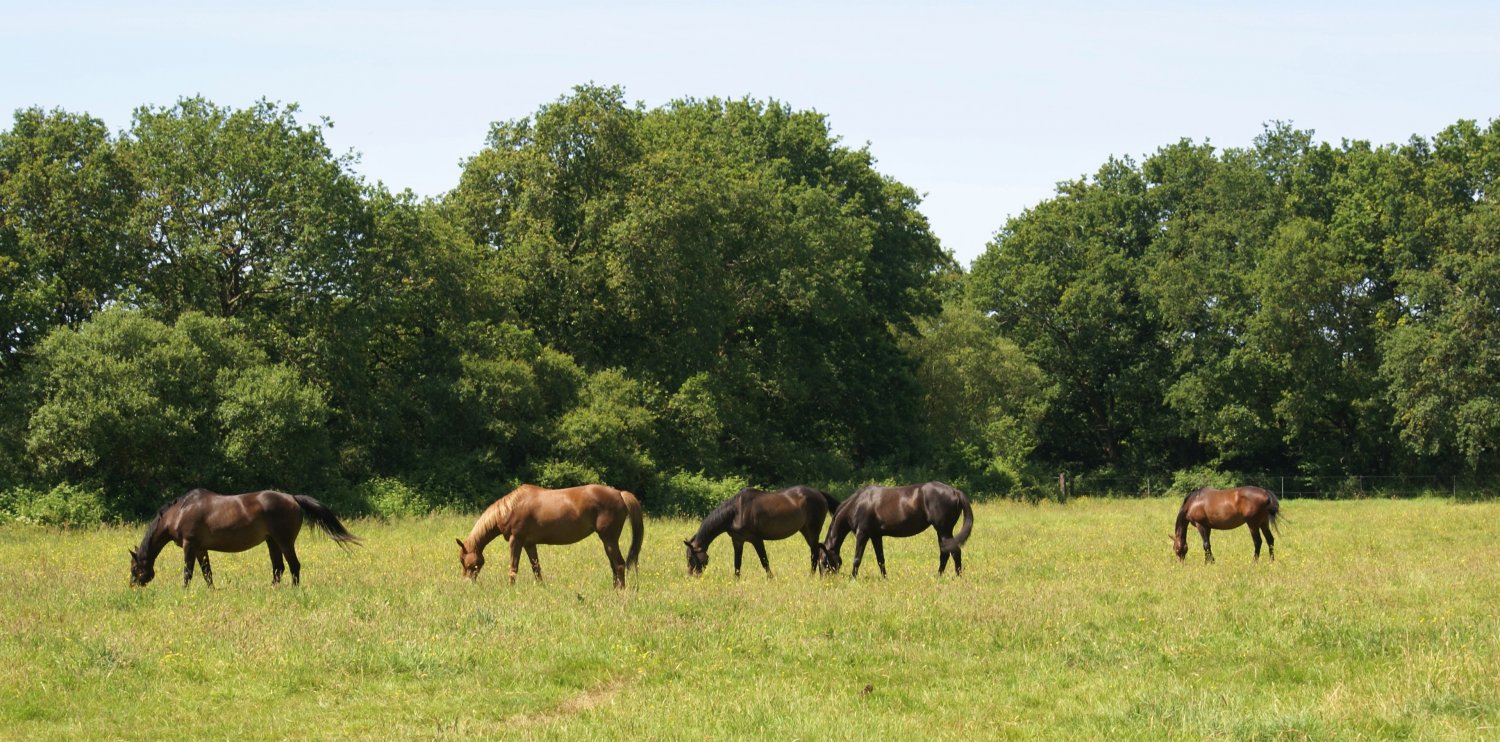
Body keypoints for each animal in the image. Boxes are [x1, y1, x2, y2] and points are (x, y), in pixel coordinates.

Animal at [128, 488, 361, 587]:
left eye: (134, 568)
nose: (133, 586)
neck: (180, 512)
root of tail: (293, 498)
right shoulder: (201, 548)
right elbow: (207, 573)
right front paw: (211, 591)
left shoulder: (190, 545)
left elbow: (188, 572)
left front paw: (184, 591)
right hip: (272, 542)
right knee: (278, 568)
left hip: (284, 542)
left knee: (294, 566)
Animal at [457, 484, 643, 589]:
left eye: (465, 561)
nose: (467, 584)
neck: (511, 508)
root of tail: (620, 494)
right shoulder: (529, 544)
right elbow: (536, 568)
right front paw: (541, 588)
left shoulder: (516, 541)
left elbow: (513, 567)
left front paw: (510, 588)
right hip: (608, 541)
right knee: (614, 566)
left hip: (609, 539)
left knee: (619, 565)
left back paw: (620, 592)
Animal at [682, 485, 840, 577]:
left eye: (690, 558)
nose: (691, 576)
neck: (737, 511)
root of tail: (819, 493)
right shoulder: (737, 541)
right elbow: (737, 563)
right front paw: (736, 580)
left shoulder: (756, 539)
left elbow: (764, 561)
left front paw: (770, 578)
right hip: (805, 530)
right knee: (815, 550)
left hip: (813, 530)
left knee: (815, 552)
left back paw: (812, 575)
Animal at [819, 481, 974, 578]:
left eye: (823, 562)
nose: (825, 579)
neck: (858, 504)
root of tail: (955, 492)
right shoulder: (876, 536)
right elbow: (880, 559)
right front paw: (884, 578)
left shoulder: (862, 534)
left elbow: (857, 558)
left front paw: (852, 578)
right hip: (942, 532)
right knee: (945, 553)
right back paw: (939, 576)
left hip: (944, 530)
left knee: (955, 552)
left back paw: (957, 576)